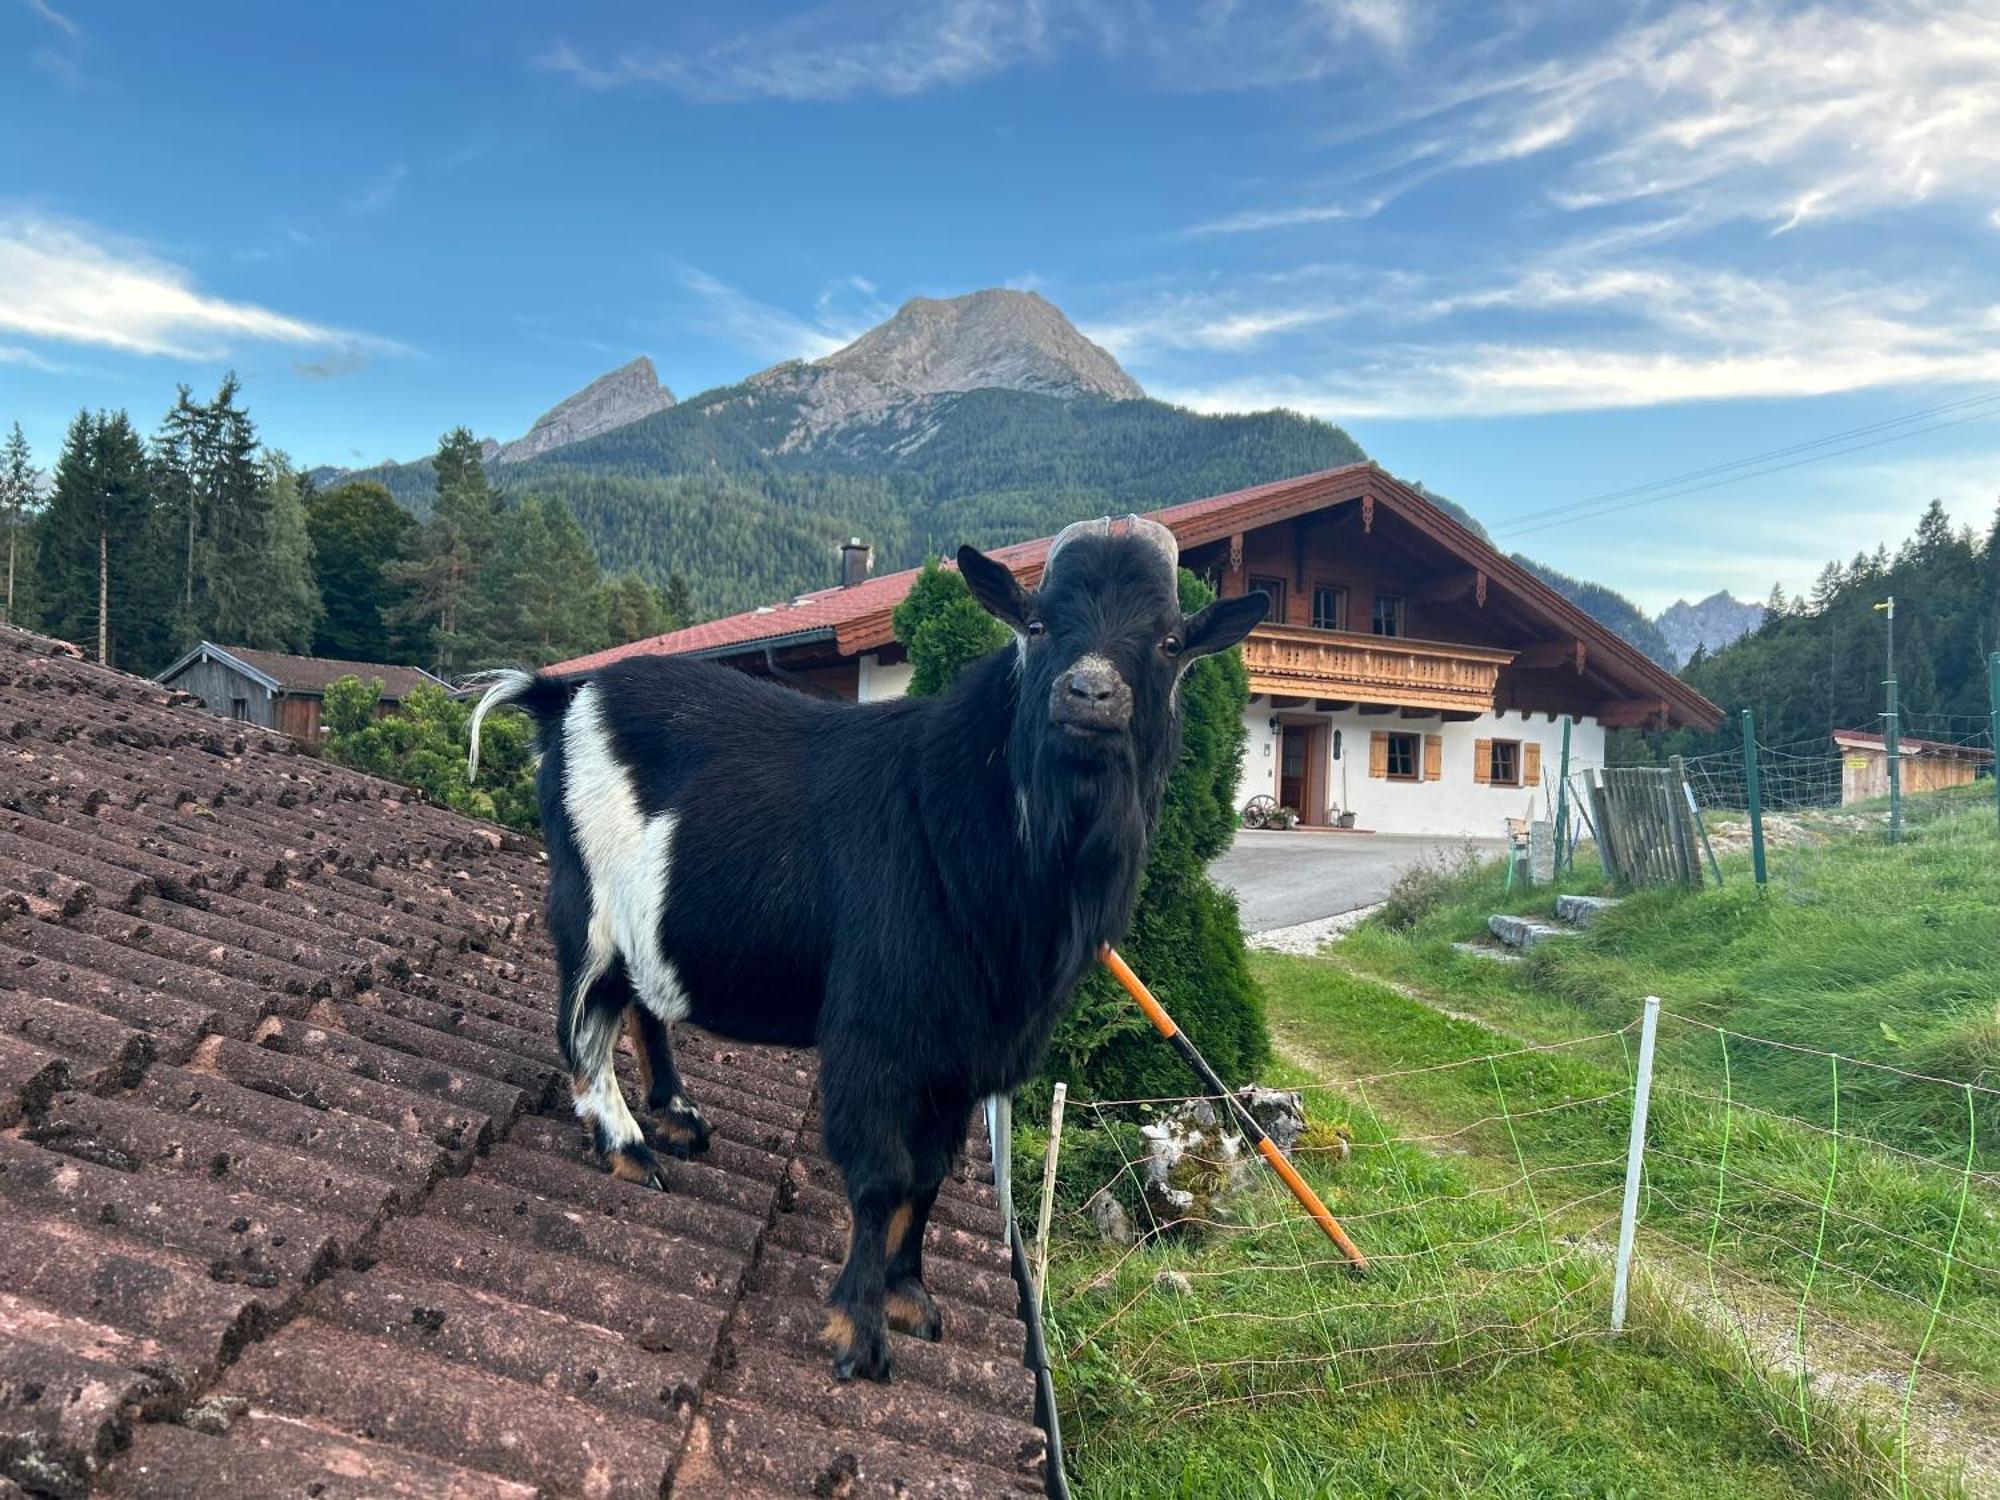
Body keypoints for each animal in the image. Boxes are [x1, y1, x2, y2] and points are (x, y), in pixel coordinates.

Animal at [468, 520, 1264, 1384]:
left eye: (1171, 641)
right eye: (1037, 624)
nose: (1089, 693)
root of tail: (566, 695)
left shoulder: (966, 1053)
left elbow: (930, 1177)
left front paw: (910, 1296)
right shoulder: (879, 1029)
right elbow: (883, 1177)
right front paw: (859, 1329)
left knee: (643, 1003)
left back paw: (677, 1115)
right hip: (590, 902)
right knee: (584, 1021)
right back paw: (629, 1150)